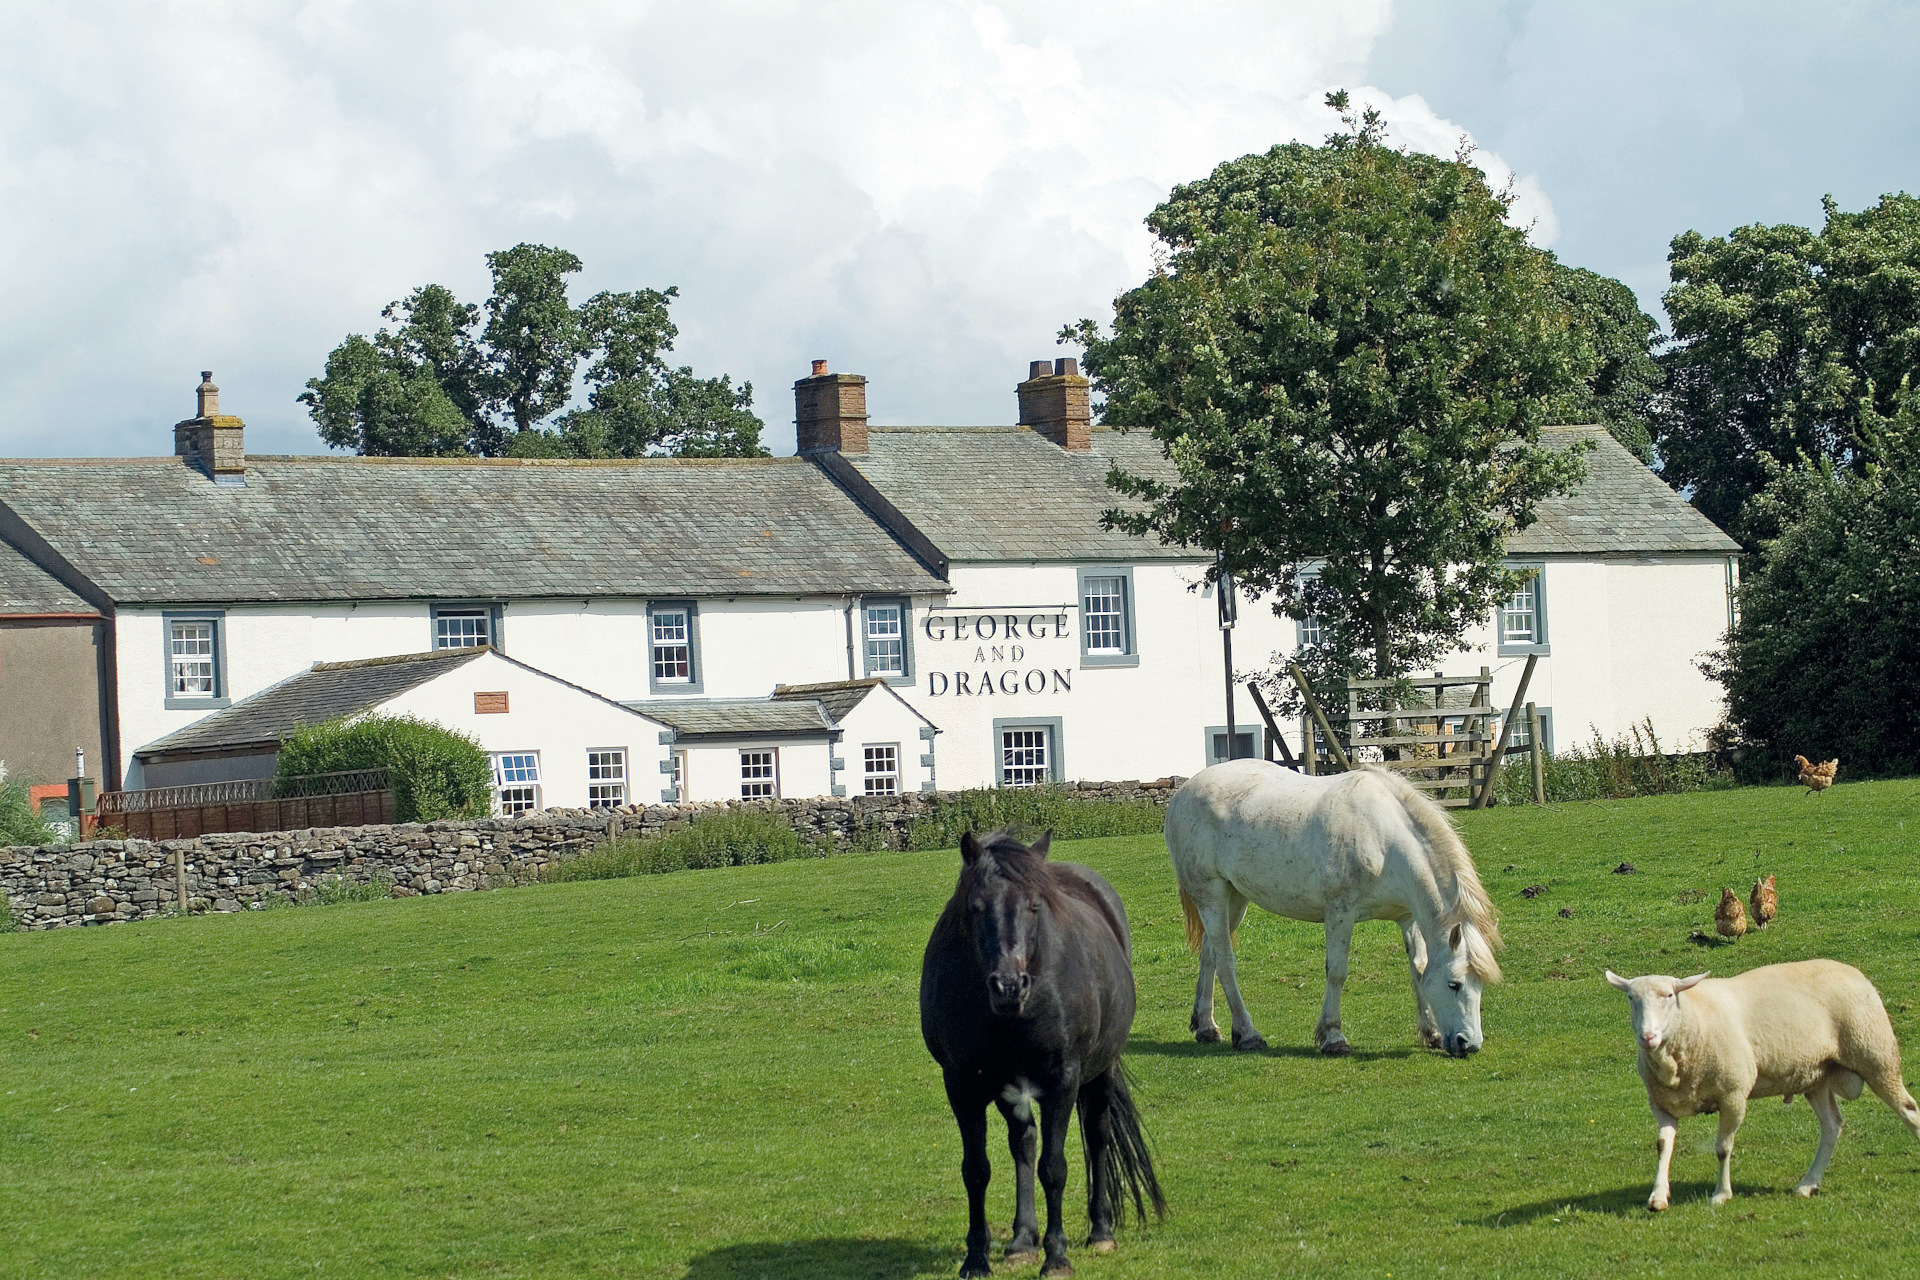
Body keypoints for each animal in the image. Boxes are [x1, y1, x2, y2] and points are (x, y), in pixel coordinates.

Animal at [921, 825, 1159, 1274]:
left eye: (1034, 906)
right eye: (975, 906)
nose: (1009, 986)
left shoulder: (1062, 1080)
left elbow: (1054, 1168)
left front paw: (1058, 1258)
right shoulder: (962, 1084)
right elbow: (976, 1170)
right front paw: (977, 1258)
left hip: (1101, 1072)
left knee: (1097, 1137)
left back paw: (1101, 1231)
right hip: (1007, 1087)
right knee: (1024, 1141)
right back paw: (1021, 1240)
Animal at [1159, 759, 1505, 1059]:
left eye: (1480, 984)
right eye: (1454, 984)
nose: (1469, 1043)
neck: (1384, 838)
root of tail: (1183, 792)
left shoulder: (1407, 917)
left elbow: (1418, 968)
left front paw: (1430, 1032)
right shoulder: (1340, 912)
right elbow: (1337, 972)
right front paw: (1333, 1037)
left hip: (1234, 897)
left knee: (1209, 954)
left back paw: (1206, 1027)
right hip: (1211, 895)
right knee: (1225, 961)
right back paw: (1247, 1034)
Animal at [1605, 959, 1920, 1212]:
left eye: (1669, 996)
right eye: (1631, 998)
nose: (1647, 1037)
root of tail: (1855, 972)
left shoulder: (1733, 1095)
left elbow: (1722, 1147)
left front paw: (1721, 1194)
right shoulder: (1662, 1104)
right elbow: (1663, 1145)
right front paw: (1658, 1197)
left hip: (1875, 1054)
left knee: (1909, 1110)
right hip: (1816, 1076)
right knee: (1832, 1126)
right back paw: (1808, 1184)